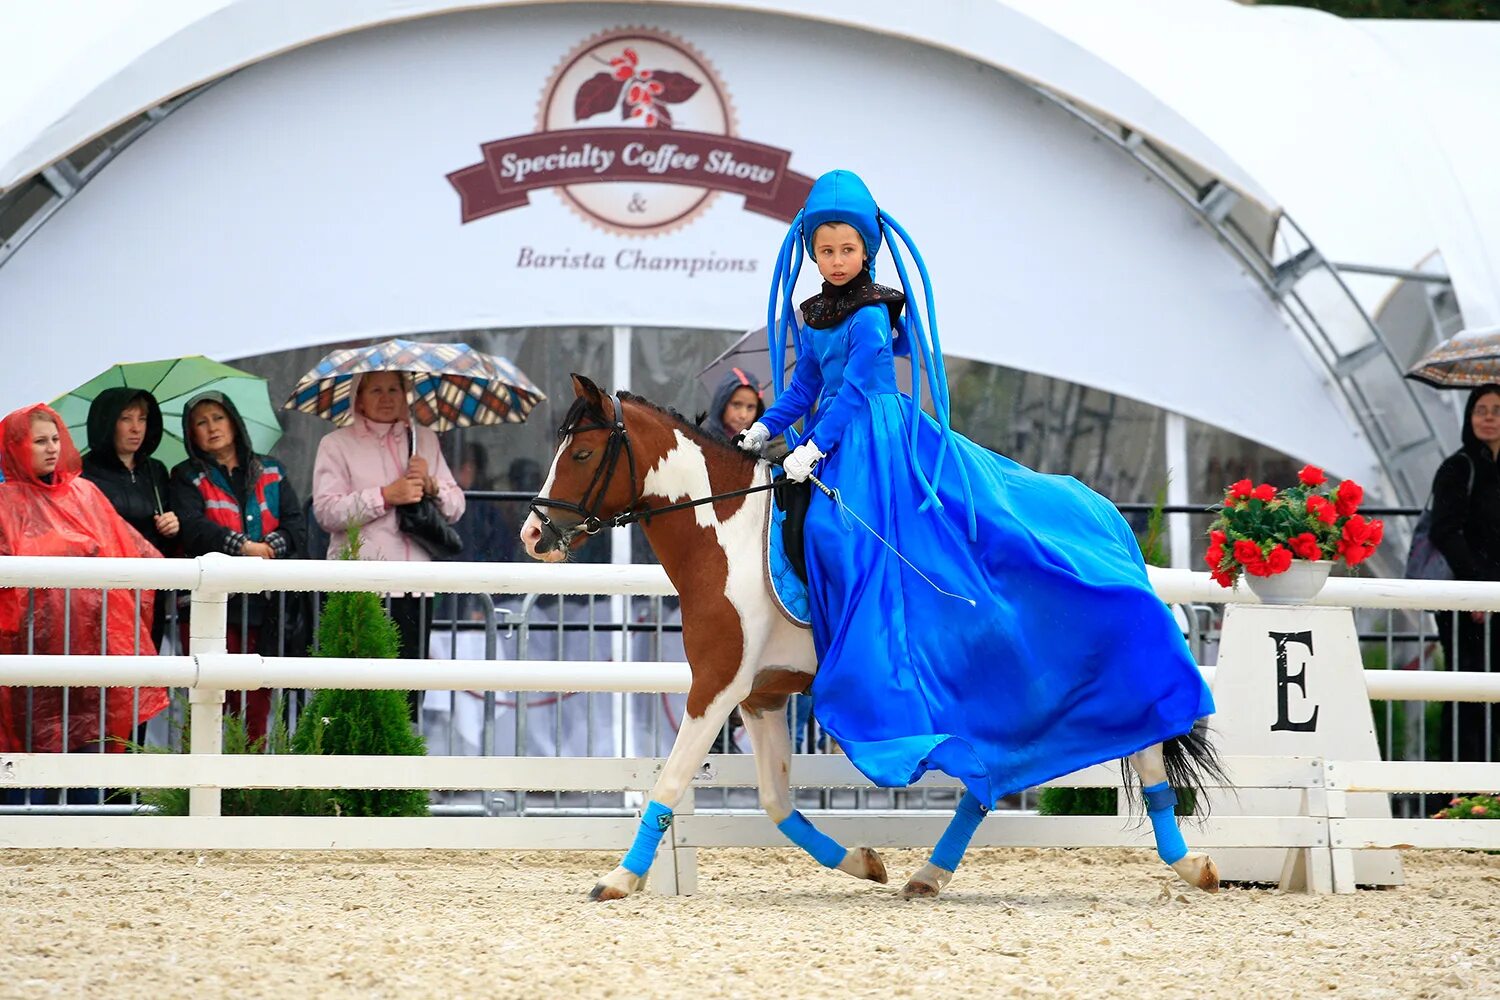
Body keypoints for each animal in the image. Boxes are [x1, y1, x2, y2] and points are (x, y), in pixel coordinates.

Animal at [519, 377, 1218, 905]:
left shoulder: (718, 683)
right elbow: (775, 802)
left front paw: (619, 878)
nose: (533, 535)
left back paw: (1192, 865)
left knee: (1143, 742)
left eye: (580, 455)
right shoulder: (762, 694)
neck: (724, 534)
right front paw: (862, 861)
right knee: (996, 770)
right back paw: (928, 874)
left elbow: (670, 781)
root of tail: (1109, 518)